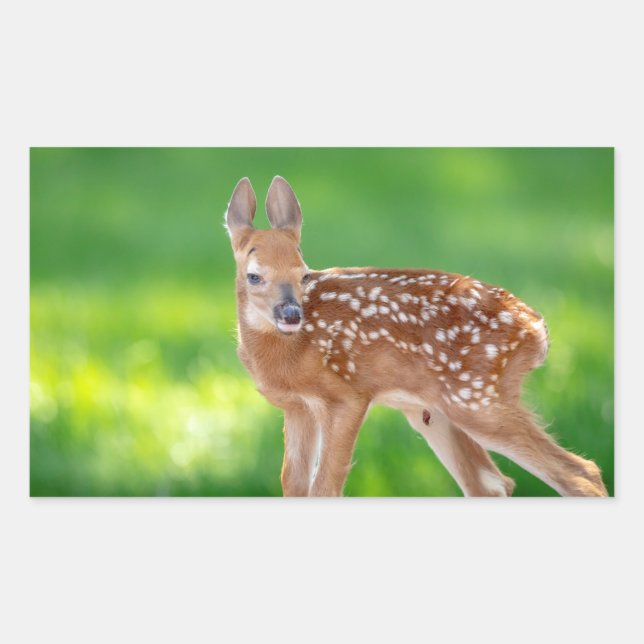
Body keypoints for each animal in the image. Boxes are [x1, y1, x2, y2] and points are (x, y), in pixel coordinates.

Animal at [224, 176, 608, 497]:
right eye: (254, 276)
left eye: (304, 274)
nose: (291, 315)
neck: (286, 353)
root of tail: (537, 330)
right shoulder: (297, 407)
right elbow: (293, 484)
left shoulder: (348, 394)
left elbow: (325, 487)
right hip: (438, 412)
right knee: (493, 483)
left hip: (477, 398)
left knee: (581, 473)